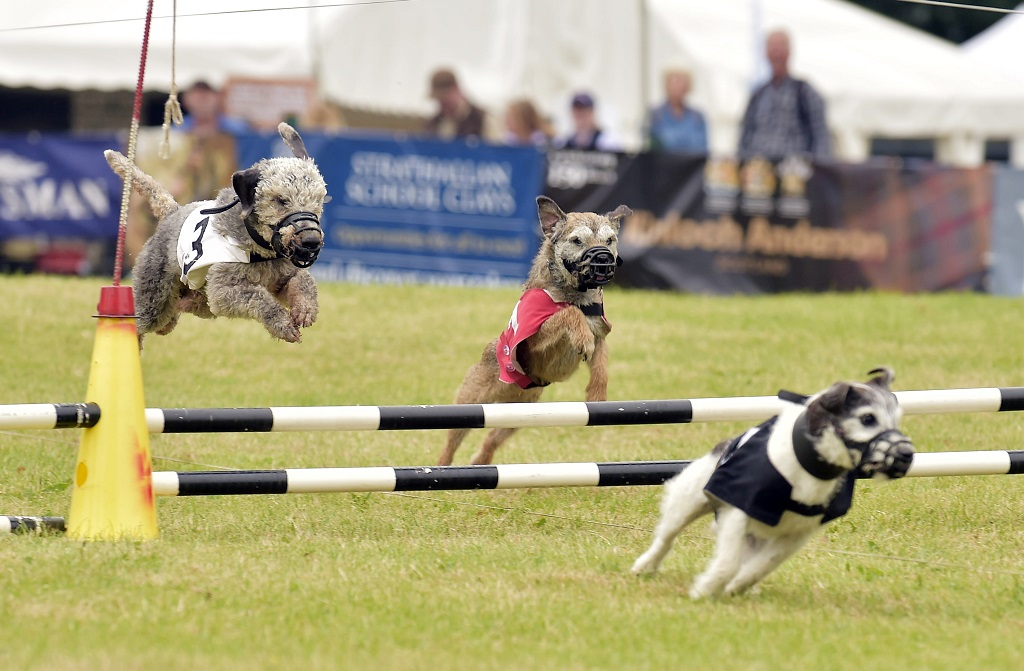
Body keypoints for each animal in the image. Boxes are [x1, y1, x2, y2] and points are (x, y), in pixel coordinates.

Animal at [630, 370, 913, 602]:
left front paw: (735, 587)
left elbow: (761, 566)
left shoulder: (796, 535)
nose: (906, 454)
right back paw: (645, 566)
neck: (808, 467)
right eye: (867, 418)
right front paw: (704, 589)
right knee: (666, 538)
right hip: (687, 500)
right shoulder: (738, 511)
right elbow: (728, 562)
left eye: (896, 420)